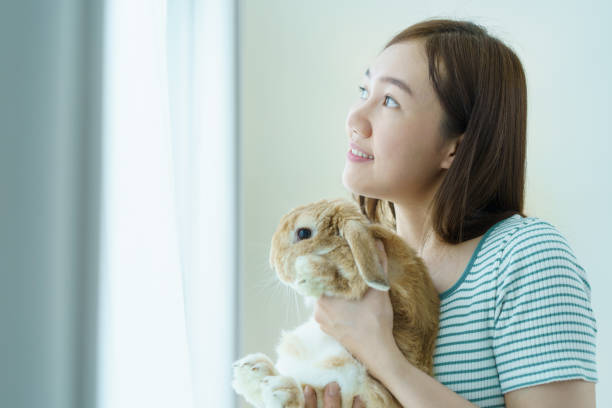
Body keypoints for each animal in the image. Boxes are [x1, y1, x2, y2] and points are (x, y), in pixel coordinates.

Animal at [231, 198, 440, 408]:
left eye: (303, 233)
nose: (273, 262)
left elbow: (345, 279)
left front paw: (308, 271)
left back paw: (277, 389)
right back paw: (251, 371)